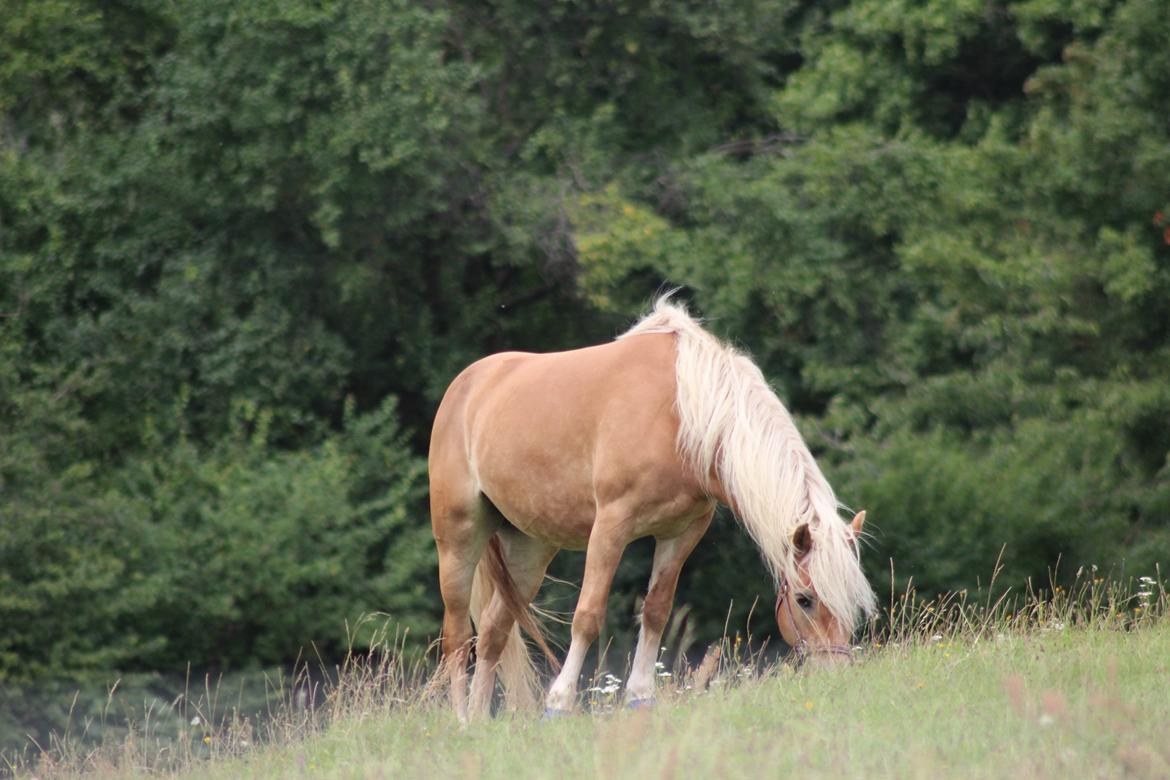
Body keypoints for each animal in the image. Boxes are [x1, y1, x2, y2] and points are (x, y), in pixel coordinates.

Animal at [430, 297, 879, 720]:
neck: (681, 414)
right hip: (458, 540)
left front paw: (640, 698)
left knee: (492, 631)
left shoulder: (681, 533)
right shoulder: (611, 527)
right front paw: (559, 704)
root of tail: (467, 385)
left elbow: (656, 612)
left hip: (529, 548)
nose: (836, 677)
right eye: (805, 599)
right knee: (457, 636)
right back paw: (461, 720)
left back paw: (480, 721)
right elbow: (588, 615)